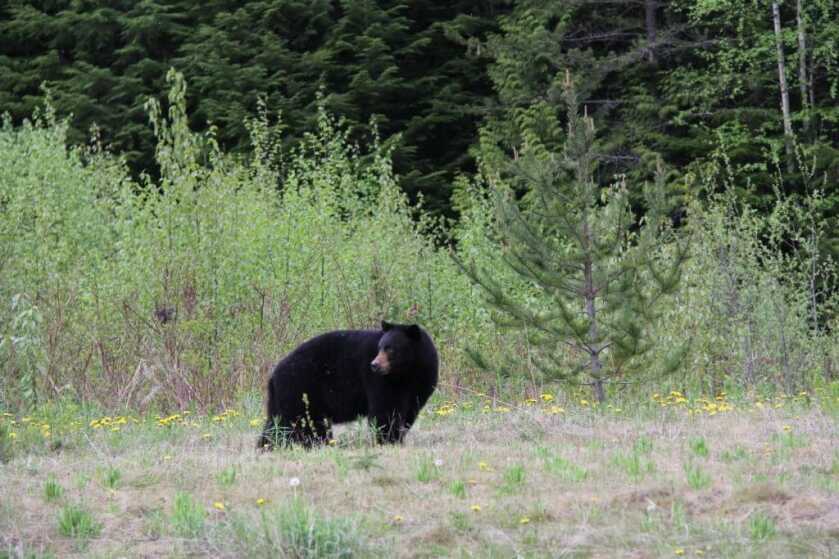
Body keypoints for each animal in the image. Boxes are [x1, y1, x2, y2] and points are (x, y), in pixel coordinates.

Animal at [258, 321, 438, 449]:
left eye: (391, 349)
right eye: (380, 347)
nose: (374, 365)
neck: (406, 372)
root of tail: (274, 374)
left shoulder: (420, 384)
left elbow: (409, 411)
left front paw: (398, 437)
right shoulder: (379, 381)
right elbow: (386, 408)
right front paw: (388, 440)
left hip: (285, 396)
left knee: (277, 421)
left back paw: (266, 445)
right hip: (302, 390)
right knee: (306, 422)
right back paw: (319, 443)